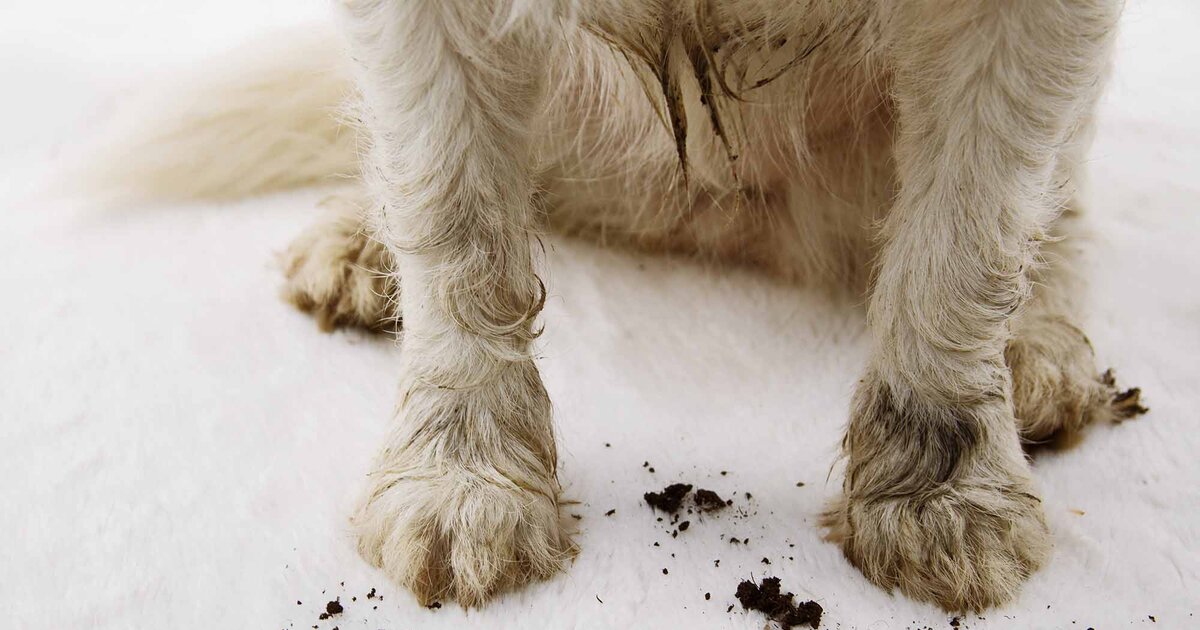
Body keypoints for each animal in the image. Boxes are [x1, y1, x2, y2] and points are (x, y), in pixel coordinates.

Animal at [88, 0, 1147, 612]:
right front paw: (462, 482)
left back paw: (1041, 351)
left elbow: (968, 233)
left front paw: (942, 493)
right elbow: (449, 208)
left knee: (1056, 199)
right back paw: (359, 243)